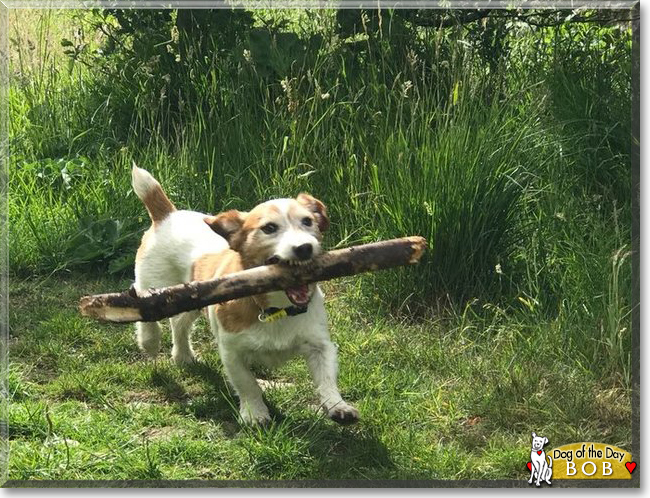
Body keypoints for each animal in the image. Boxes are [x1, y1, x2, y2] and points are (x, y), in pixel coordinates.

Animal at [129, 165, 356, 426]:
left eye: (308, 221)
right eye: (269, 228)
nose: (304, 248)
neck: (278, 308)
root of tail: (167, 216)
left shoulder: (320, 346)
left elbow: (327, 378)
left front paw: (338, 406)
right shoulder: (232, 352)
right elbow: (247, 384)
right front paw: (255, 413)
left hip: (191, 300)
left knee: (179, 323)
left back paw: (183, 356)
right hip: (155, 284)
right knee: (143, 305)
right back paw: (149, 340)